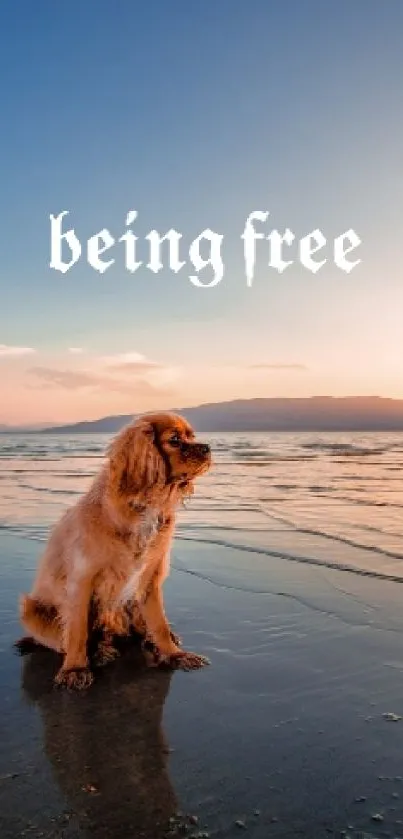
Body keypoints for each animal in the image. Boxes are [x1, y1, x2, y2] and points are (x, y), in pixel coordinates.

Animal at [19, 412, 213, 688]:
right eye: (174, 440)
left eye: (192, 437)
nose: (207, 448)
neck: (144, 506)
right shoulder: (82, 580)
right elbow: (77, 631)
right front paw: (75, 669)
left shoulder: (149, 579)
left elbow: (159, 622)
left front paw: (174, 654)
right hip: (31, 610)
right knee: (65, 640)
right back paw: (99, 652)